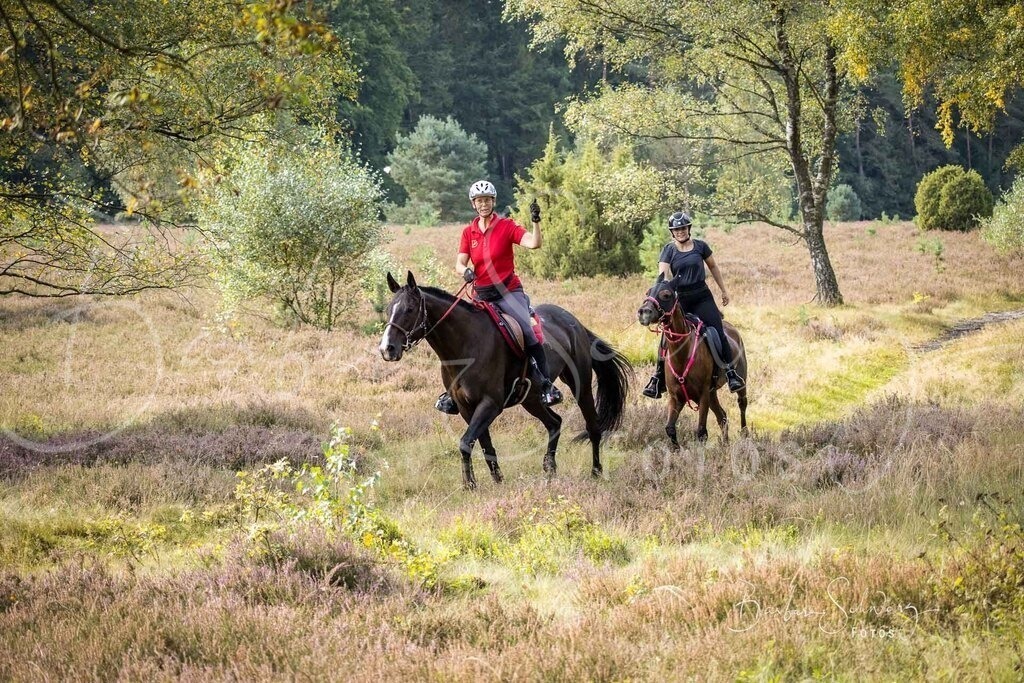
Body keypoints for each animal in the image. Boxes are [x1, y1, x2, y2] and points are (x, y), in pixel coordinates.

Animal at [379, 271, 632, 489]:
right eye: (389, 309)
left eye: (410, 309)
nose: (386, 349)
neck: (465, 346)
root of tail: (573, 321)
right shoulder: (465, 407)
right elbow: (483, 444)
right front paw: (497, 480)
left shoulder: (490, 404)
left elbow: (466, 442)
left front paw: (470, 484)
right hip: (531, 399)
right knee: (554, 422)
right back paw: (549, 468)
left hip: (580, 385)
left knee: (593, 427)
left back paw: (596, 471)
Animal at [637, 274, 748, 444]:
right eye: (648, 292)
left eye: (666, 295)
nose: (643, 312)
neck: (683, 355)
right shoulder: (677, 398)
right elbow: (670, 429)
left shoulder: (703, 396)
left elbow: (701, 432)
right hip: (712, 393)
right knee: (722, 417)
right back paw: (725, 445)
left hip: (738, 384)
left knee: (742, 404)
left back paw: (745, 434)